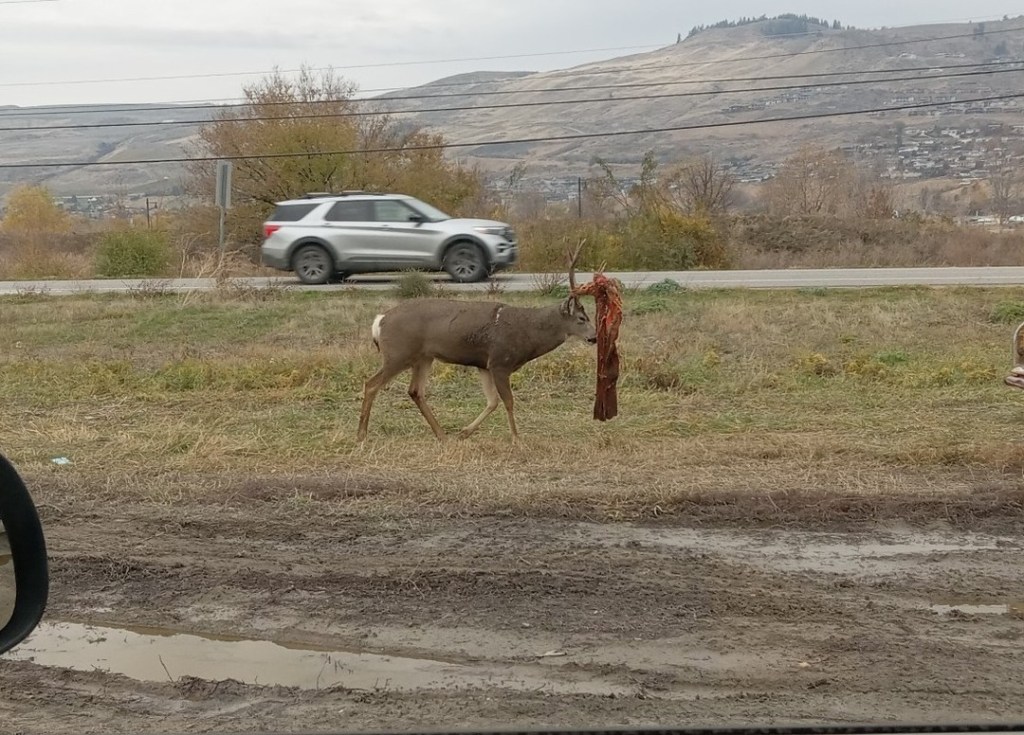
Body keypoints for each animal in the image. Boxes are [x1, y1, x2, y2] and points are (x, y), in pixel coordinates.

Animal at [356, 243, 597, 442]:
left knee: (415, 391)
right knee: (372, 384)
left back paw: (442, 435)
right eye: (581, 318)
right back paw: (362, 434)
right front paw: (517, 440)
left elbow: (492, 401)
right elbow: (508, 401)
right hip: (398, 353)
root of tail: (379, 321)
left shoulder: (484, 365)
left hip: (423, 357)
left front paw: (464, 432)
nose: (594, 337)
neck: (527, 333)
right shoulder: (500, 362)